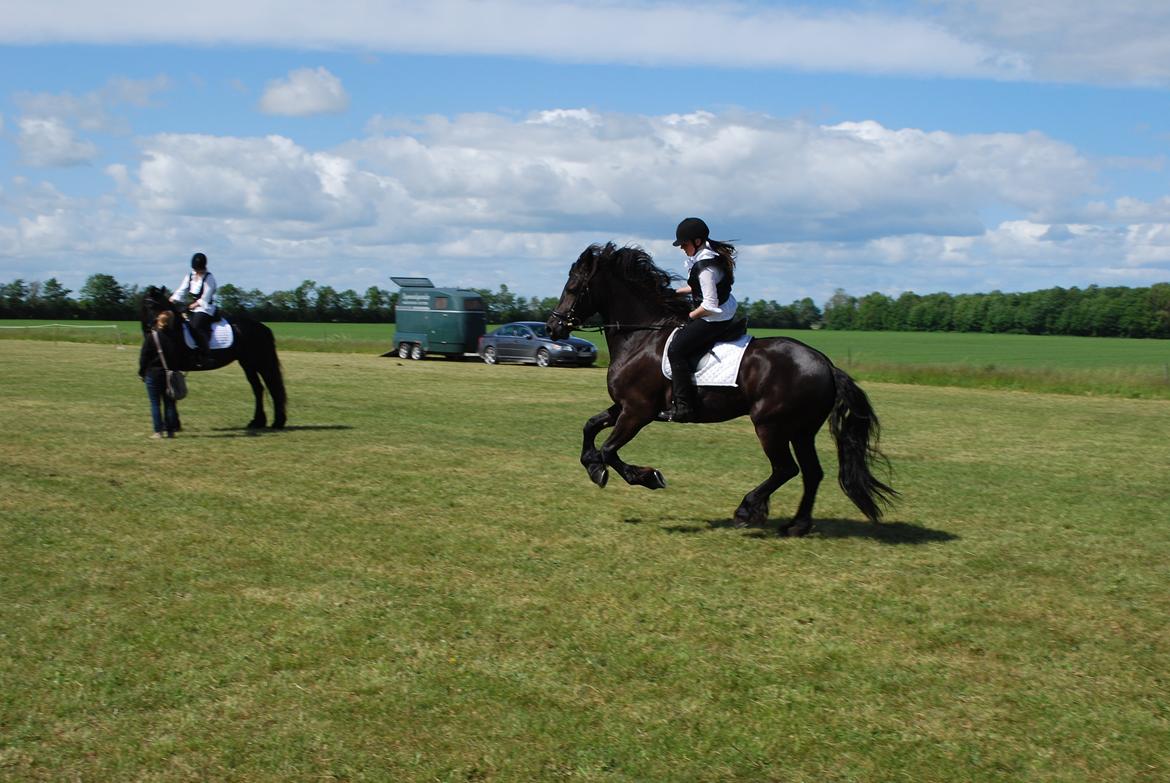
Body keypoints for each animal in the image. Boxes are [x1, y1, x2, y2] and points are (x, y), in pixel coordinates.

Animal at [140, 284, 286, 428]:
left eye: (154, 305)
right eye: (150, 305)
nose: (155, 327)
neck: (174, 331)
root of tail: (263, 327)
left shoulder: (171, 366)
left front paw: (173, 424)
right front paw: (173, 423)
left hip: (261, 363)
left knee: (272, 387)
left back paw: (277, 422)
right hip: (247, 364)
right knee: (258, 388)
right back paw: (257, 421)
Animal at [547, 242, 893, 538]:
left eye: (574, 288)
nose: (553, 327)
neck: (641, 337)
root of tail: (826, 365)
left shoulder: (637, 412)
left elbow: (609, 449)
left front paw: (646, 477)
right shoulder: (624, 406)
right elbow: (590, 426)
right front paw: (593, 466)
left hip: (770, 425)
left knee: (786, 469)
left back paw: (747, 510)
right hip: (801, 430)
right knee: (812, 472)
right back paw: (797, 525)